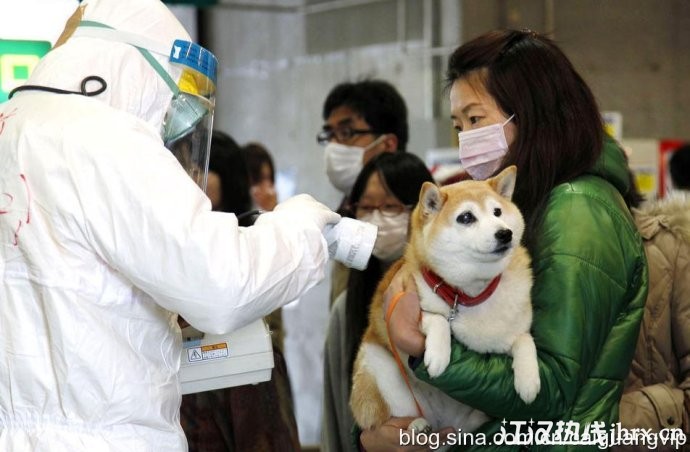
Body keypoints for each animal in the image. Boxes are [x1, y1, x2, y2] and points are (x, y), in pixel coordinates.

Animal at [350, 166, 536, 438]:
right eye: (466, 217)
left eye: (498, 212)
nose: (504, 233)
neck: (469, 294)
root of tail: (443, 423)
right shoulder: (410, 303)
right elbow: (438, 319)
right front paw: (438, 355)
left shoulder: (508, 334)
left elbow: (525, 339)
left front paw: (529, 379)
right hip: (378, 365)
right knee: (389, 418)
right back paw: (416, 425)